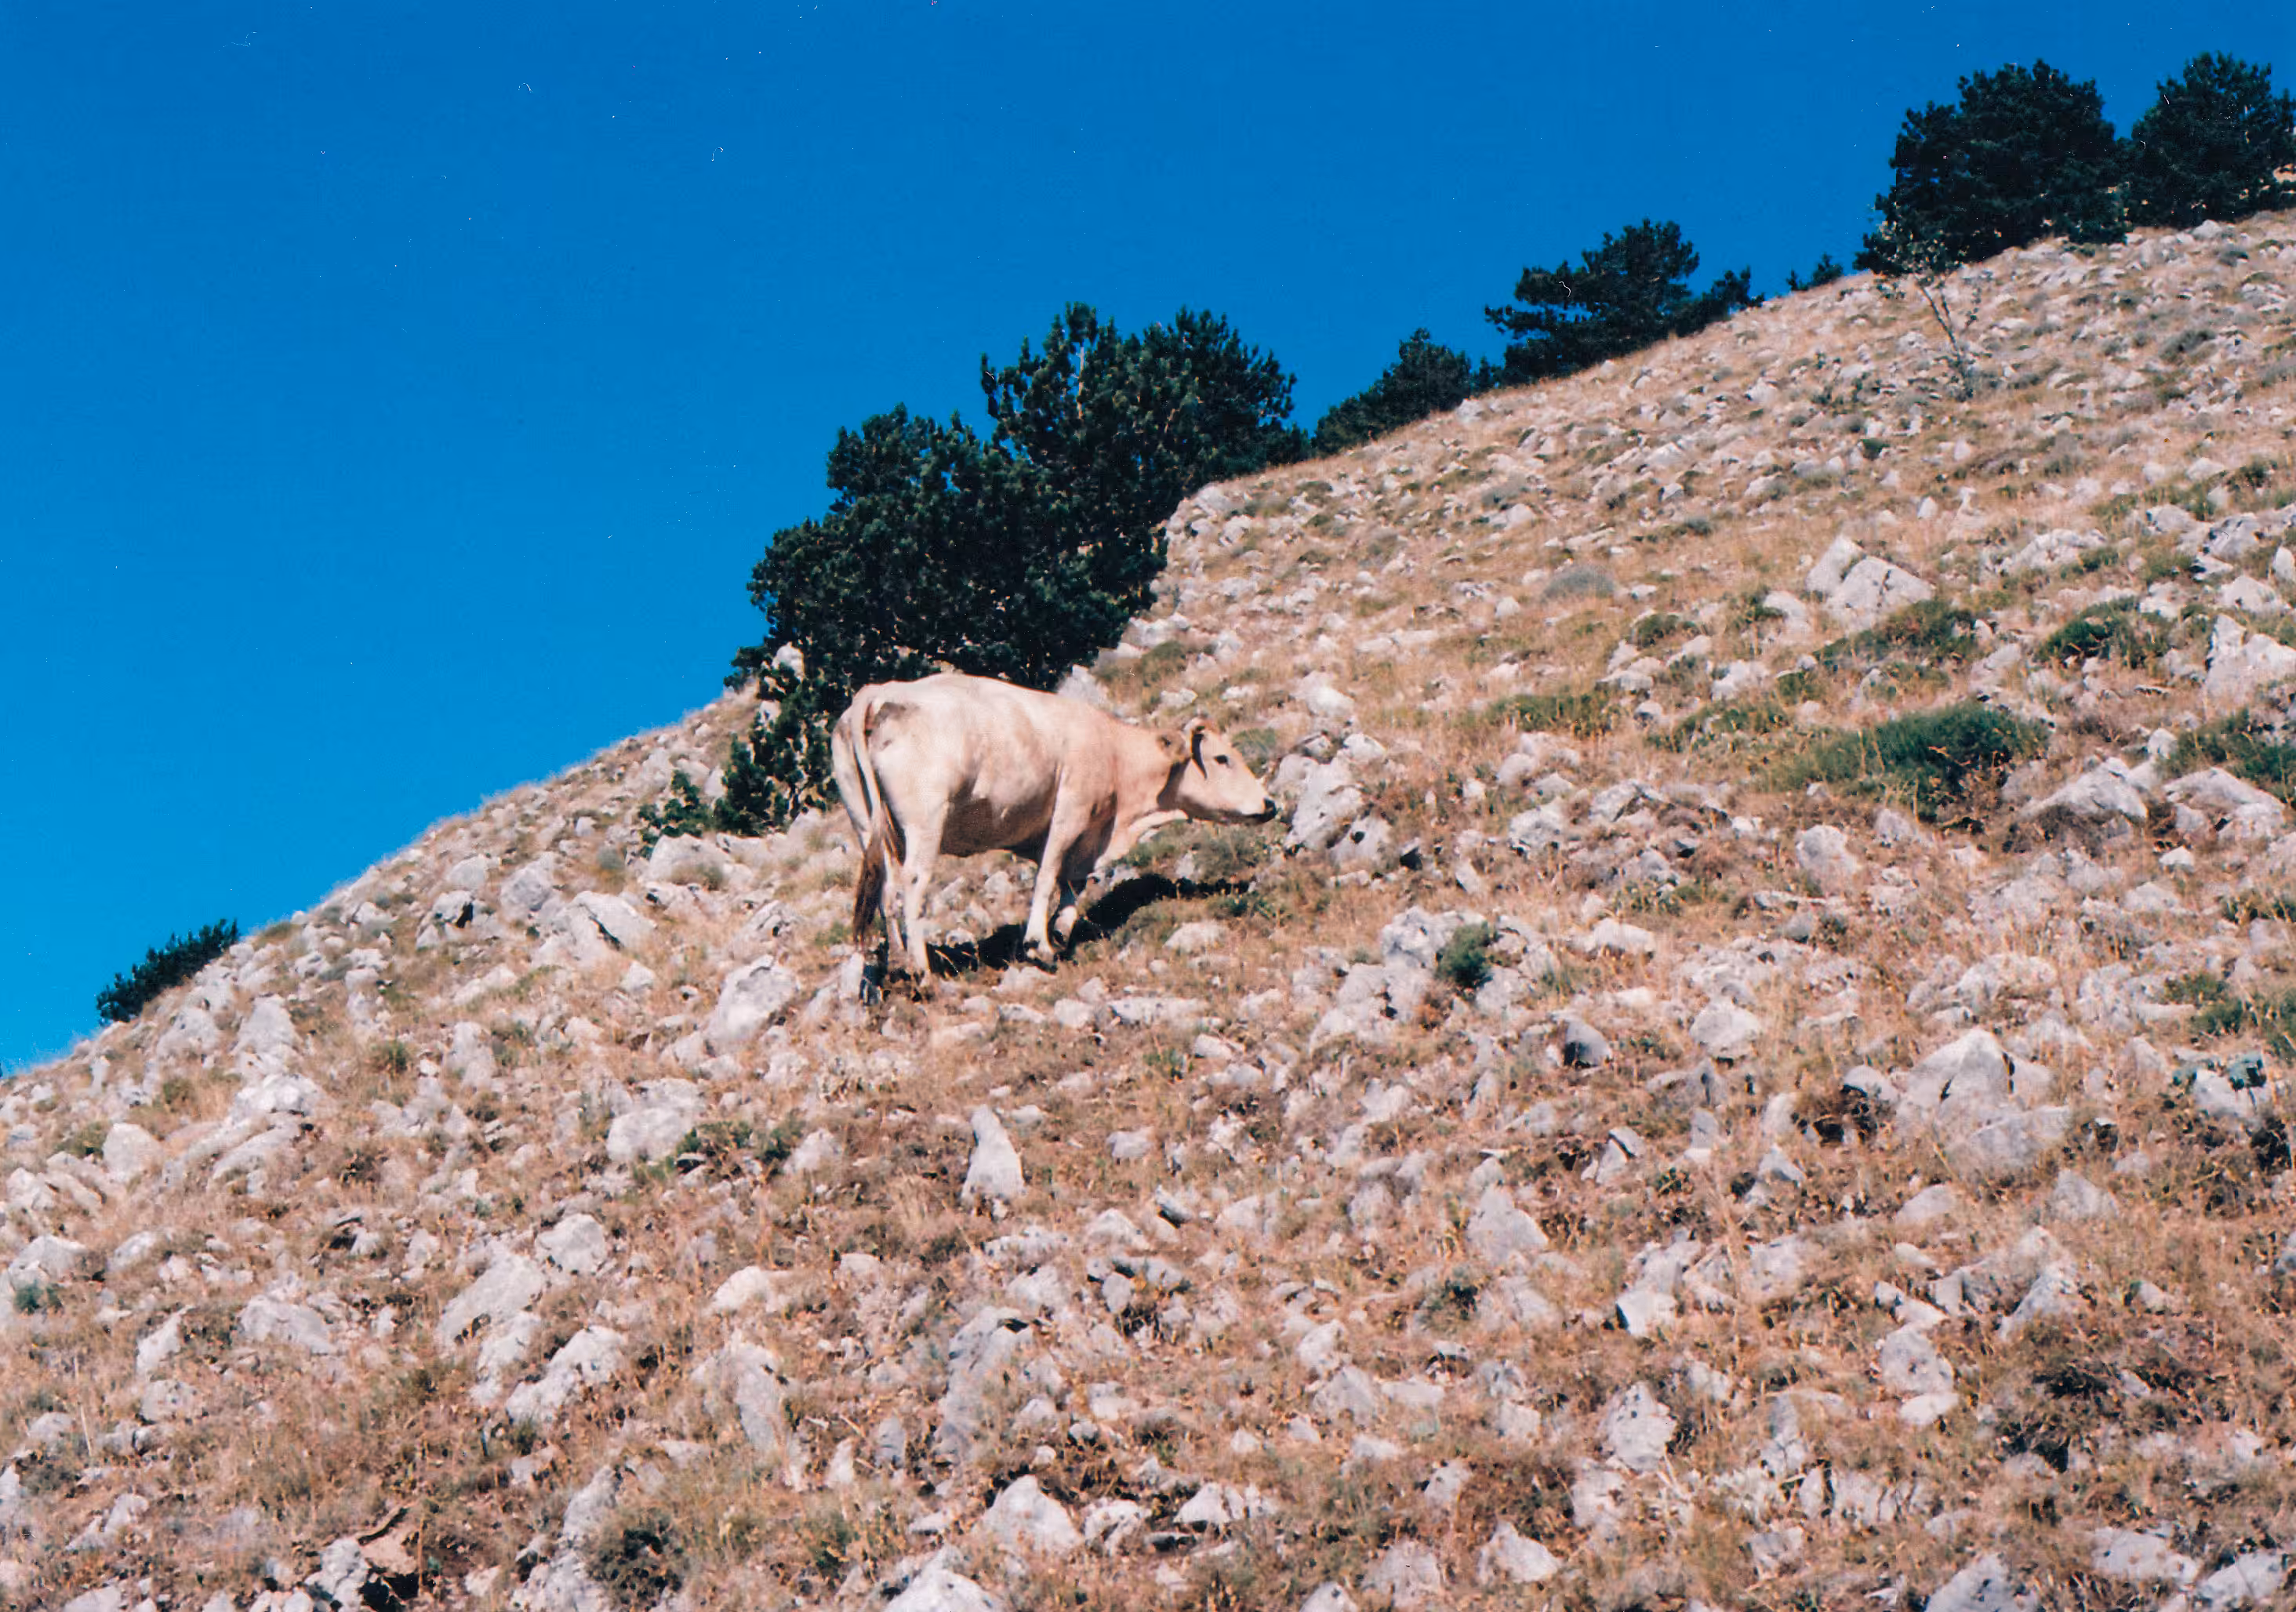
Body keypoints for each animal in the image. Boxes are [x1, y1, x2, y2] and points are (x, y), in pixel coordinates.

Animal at [831, 672, 1276, 978]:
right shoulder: (1072, 810)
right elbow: (1049, 875)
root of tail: (880, 692)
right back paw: (923, 972)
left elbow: (1072, 882)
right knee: (911, 887)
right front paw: (1038, 945)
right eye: (1221, 758)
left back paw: (898, 963)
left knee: (886, 889)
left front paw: (1060, 932)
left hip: (871, 827)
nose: (1269, 804)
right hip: (925, 823)